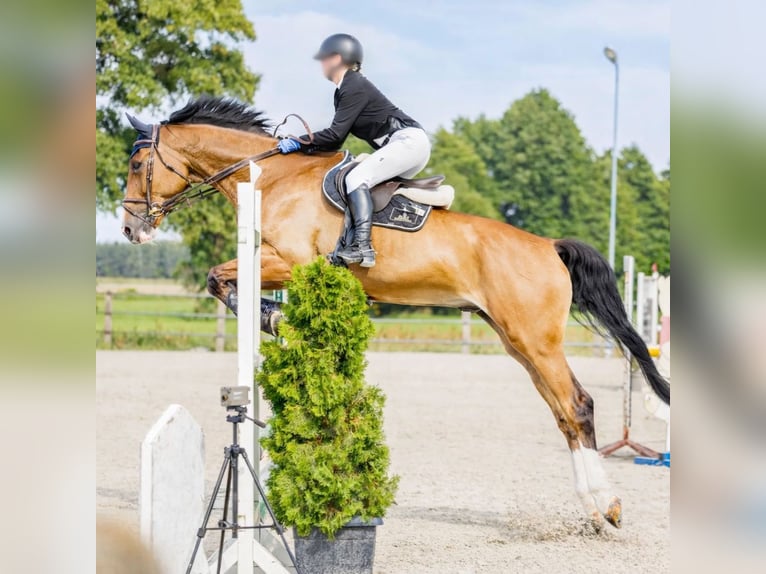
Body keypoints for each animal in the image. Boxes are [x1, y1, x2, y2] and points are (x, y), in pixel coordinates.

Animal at [120, 96, 669, 531]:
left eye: (139, 163)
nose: (130, 229)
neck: (273, 177)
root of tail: (549, 246)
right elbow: (219, 278)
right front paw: (269, 315)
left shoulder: (289, 263)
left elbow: (218, 277)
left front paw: (268, 316)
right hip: (518, 343)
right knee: (562, 414)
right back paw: (593, 509)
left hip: (536, 341)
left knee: (578, 405)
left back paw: (607, 506)